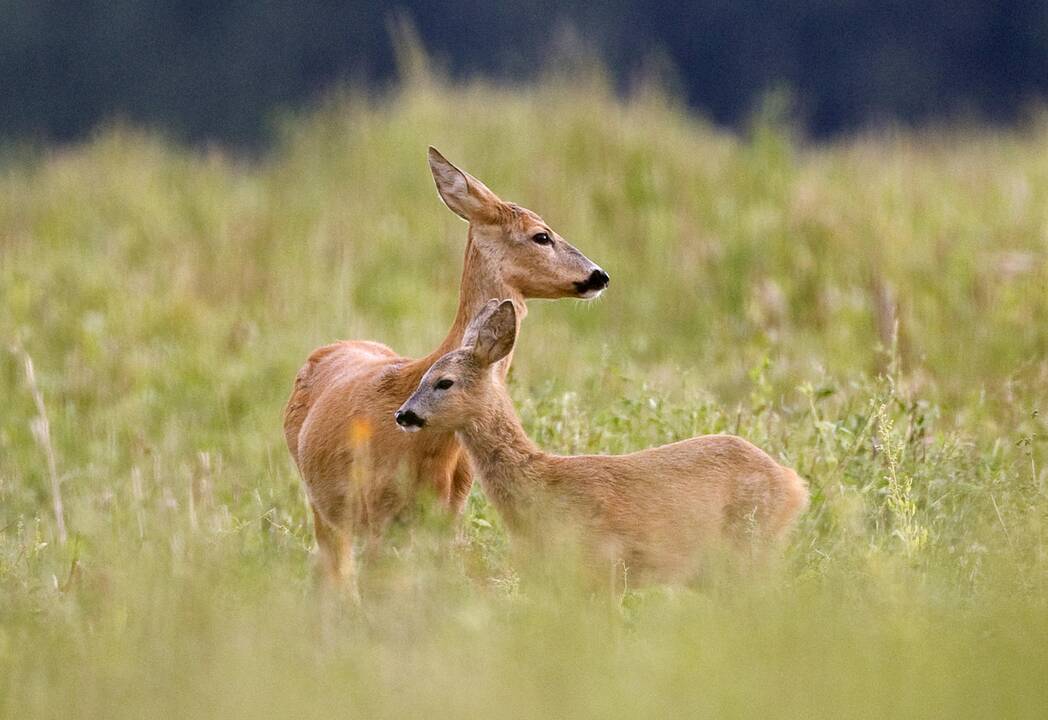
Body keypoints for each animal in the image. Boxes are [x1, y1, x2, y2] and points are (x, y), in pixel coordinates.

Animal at [282, 146, 612, 591]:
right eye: (542, 235)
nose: (600, 275)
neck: (430, 448)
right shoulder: (374, 510)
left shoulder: (449, 511)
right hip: (324, 504)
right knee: (332, 574)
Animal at [394, 297, 809, 586]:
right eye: (422, 376)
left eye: (444, 382)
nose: (403, 414)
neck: (543, 487)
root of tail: (794, 484)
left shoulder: (602, 560)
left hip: (748, 544)